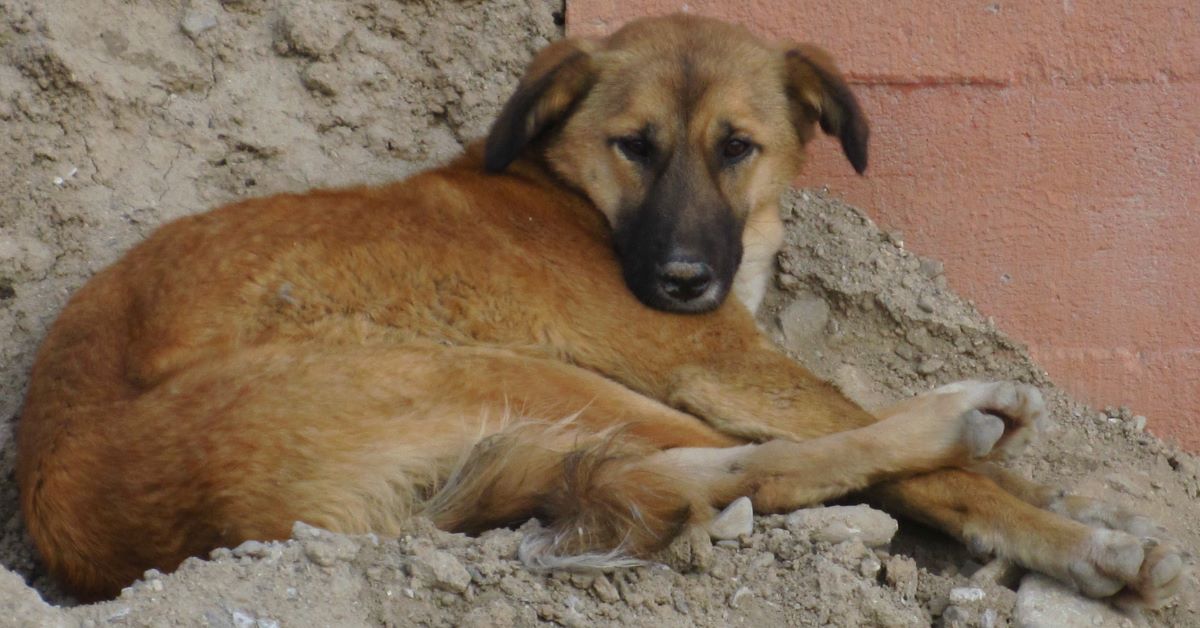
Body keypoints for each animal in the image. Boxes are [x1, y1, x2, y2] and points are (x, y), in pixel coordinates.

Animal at [16, 13, 1180, 605]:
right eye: (635, 145)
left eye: (737, 146)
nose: (680, 282)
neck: (570, 192)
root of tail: (81, 512)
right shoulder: (720, 361)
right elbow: (941, 477)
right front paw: (1068, 528)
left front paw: (1066, 502)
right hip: (493, 367)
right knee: (763, 463)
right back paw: (969, 423)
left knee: (688, 472)